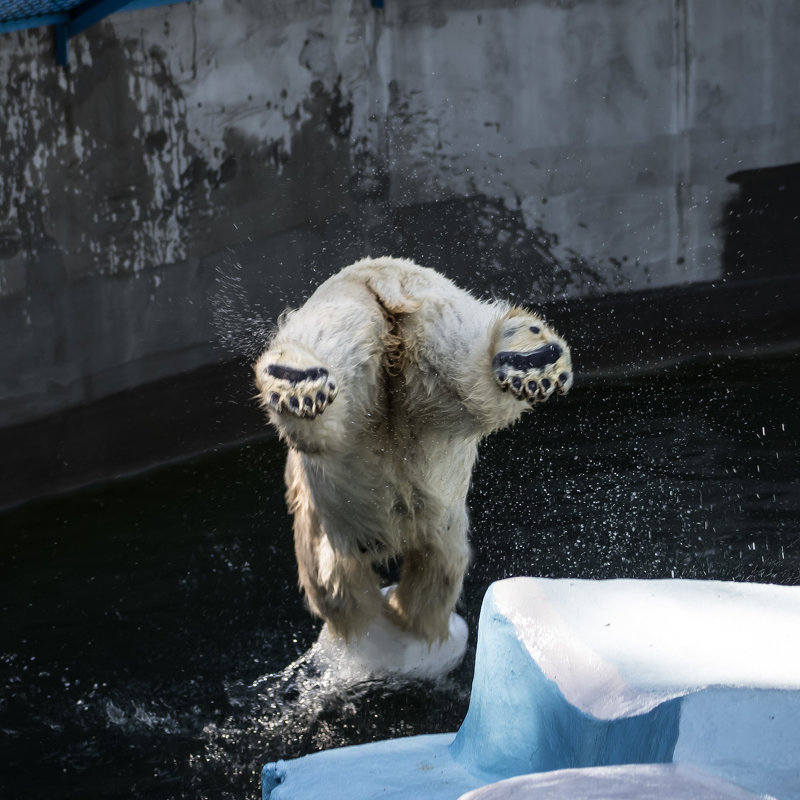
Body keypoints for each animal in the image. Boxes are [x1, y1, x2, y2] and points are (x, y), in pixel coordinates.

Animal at [253, 260, 572, 648]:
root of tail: (384, 277)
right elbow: (435, 572)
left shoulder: (323, 532)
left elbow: (334, 589)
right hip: (440, 324)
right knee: (473, 386)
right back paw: (531, 356)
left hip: (353, 320)